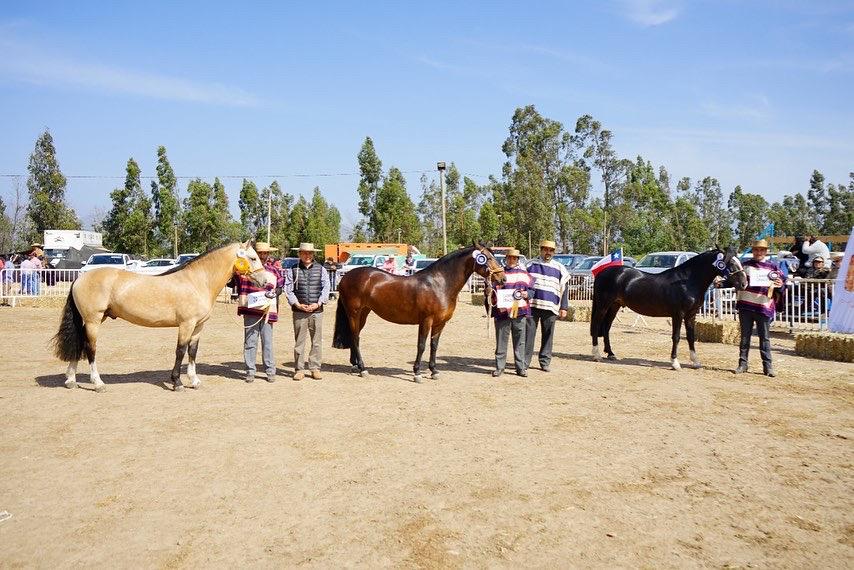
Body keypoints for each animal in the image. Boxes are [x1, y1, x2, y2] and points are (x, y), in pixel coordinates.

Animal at [51, 240, 272, 390]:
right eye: (253, 258)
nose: (266, 282)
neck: (198, 281)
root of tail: (80, 278)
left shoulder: (198, 326)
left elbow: (192, 352)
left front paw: (194, 380)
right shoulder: (186, 324)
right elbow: (180, 351)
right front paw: (177, 382)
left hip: (92, 320)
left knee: (79, 344)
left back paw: (71, 380)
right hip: (93, 321)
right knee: (90, 348)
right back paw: (97, 383)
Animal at [332, 241, 508, 380]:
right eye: (488, 258)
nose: (503, 279)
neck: (440, 284)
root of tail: (346, 277)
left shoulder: (440, 323)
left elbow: (434, 345)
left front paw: (434, 371)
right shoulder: (426, 320)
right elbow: (421, 345)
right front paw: (417, 372)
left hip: (364, 313)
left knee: (355, 337)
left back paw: (355, 366)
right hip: (354, 313)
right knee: (355, 337)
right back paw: (363, 368)